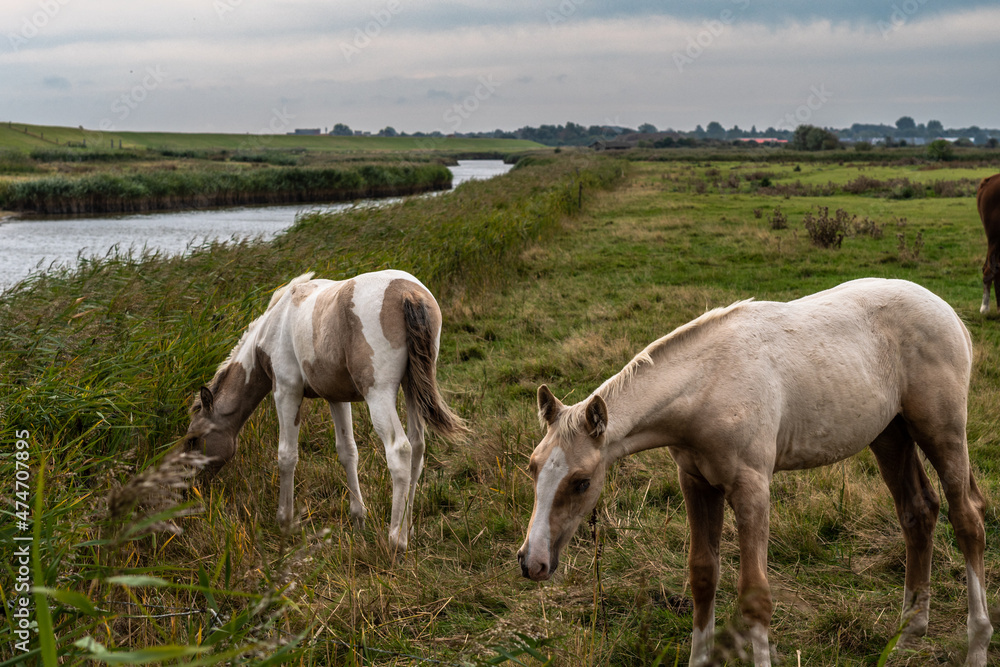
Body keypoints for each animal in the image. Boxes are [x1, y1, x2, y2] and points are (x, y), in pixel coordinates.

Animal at [181, 268, 468, 556]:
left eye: (194, 439)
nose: (189, 490)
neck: (275, 324)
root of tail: (409, 292)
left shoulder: (286, 391)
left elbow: (286, 455)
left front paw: (284, 521)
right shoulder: (336, 398)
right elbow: (347, 452)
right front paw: (358, 518)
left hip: (379, 394)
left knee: (400, 450)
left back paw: (395, 541)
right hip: (412, 388)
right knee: (417, 449)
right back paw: (407, 528)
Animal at [516, 278, 992, 667]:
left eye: (581, 482)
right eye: (532, 468)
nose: (532, 562)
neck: (708, 384)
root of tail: (948, 311)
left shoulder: (751, 488)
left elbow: (756, 595)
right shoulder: (696, 482)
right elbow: (703, 575)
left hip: (942, 431)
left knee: (967, 519)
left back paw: (977, 644)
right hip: (890, 435)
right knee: (918, 512)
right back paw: (909, 632)